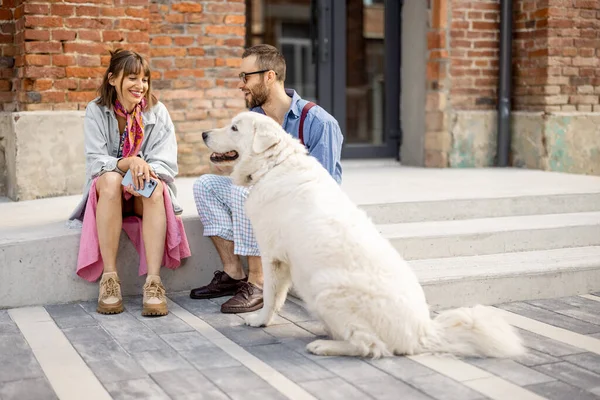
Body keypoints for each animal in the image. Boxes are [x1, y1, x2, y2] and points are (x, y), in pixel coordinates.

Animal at [203, 112, 524, 360]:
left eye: (234, 128)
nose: (205, 133)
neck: (273, 165)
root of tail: (422, 332)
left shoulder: (273, 255)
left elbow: (270, 296)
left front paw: (259, 321)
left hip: (326, 289)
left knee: (370, 346)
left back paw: (325, 345)